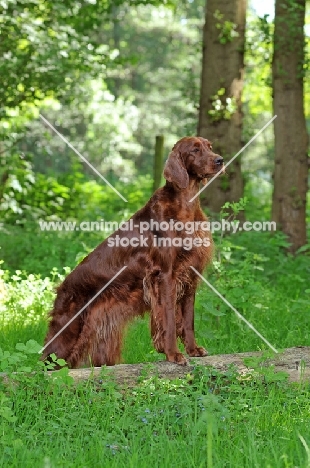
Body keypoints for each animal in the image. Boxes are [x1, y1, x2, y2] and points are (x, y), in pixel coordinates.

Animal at [42, 137, 224, 368]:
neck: (186, 206)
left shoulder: (190, 276)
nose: (220, 160)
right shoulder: (165, 276)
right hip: (68, 330)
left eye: (209, 147)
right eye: (195, 150)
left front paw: (193, 350)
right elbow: (169, 321)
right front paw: (173, 354)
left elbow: (188, 321)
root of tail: (61, 287)